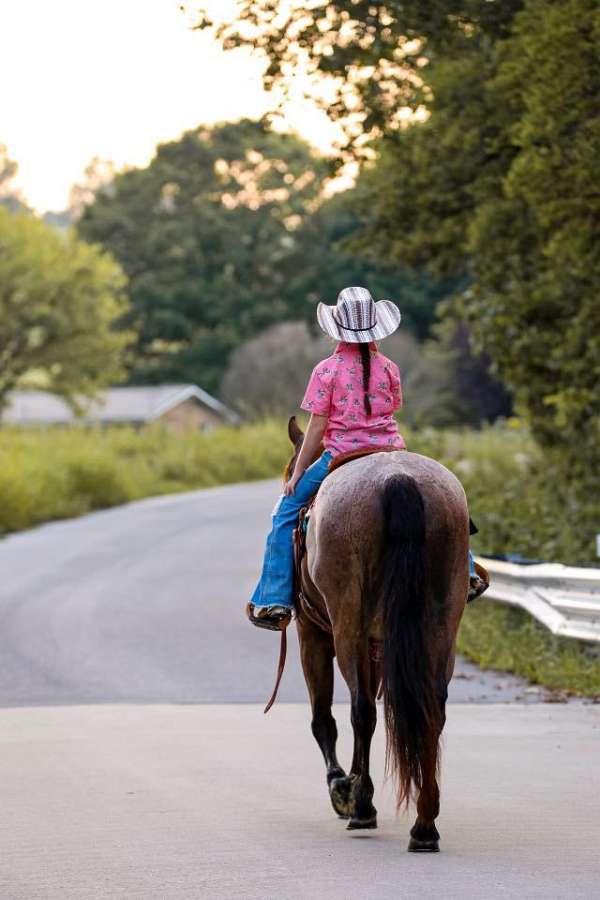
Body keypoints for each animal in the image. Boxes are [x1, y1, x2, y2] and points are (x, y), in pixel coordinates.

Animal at [288, 414, 472, 852]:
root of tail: (398, 480)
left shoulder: (311, 635)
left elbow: (324, 717)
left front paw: (343, 787)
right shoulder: (377, 646)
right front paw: (354, 784)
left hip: (347, 626)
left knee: (361, 712)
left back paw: (361, 808)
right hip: (441, 623)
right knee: (432, 708)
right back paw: (424, 824)